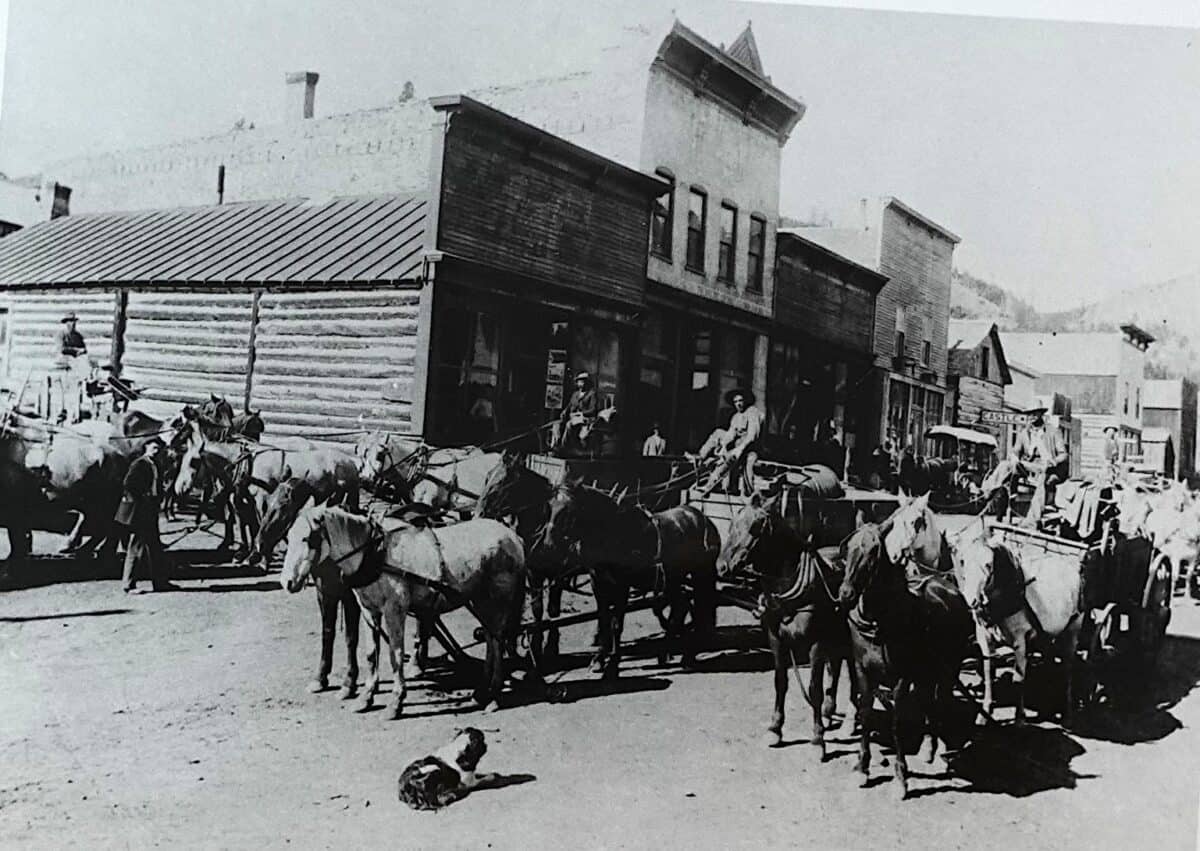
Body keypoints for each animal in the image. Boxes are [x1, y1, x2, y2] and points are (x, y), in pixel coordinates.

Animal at [283, 504, 528, 715]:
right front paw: (365, 697)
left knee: (497, 640)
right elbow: (371, 653)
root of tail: (512, 536)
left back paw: (493, 694)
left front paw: (396, 701)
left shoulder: (394, 610)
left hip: (498, 600)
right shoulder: (369, 610)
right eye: (289, 537)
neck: (376, 553)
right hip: (479, 600)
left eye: (308, 538)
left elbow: (396, 654)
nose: (287, 582)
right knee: (490, 638)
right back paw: (482, 691)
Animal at [540, 477, 715, 676]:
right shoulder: (598, 583)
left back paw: (687, 655)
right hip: (673, 580)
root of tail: (703, 519)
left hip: (700, 575)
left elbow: (617, 624)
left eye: (568, 510)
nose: (548, 546)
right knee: (682, 606)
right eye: (549, 507)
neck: (612, 533)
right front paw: (599, 659)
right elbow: (603, 620)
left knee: (699, 610)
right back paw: (667, 653)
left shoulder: (622, 586)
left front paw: (613, 663)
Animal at [710, 487, 854, 758]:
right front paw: (775, 729)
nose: (721, 567)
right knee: (837, 668)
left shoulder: (816, 644)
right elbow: (781, 682)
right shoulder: (776, 639)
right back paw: (829, 712)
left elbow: (814, 688)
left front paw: (817, 738)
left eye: (756, 526)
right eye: (732, 524)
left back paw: (850, 718)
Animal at [835, 494, 974, 801]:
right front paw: (862, 768)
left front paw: (901, 778)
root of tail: (944, 584)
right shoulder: (863, 670)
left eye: (874, 552)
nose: (845, 594)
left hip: (948, 669)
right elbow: (865, 712)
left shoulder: (901, 676)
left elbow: (897, 723)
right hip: (926, 672)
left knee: (940, 702)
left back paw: (935, 749)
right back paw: (928, 746)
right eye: (847, 548)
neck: (881, 620)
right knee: (928, 702)